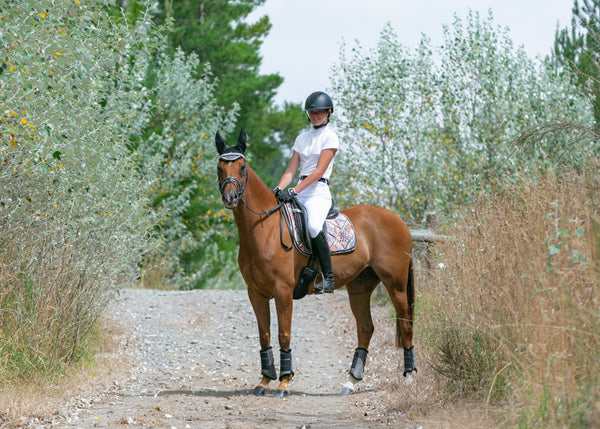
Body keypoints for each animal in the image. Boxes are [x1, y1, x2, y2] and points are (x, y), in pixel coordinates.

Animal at [217, 129, 418, 396]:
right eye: (220, 168)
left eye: (242, 167)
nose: (230, 197)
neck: (262, 228)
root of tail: (399, 220)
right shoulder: (255, 293)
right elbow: (264, 335)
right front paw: (264, 381)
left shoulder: (282, 291)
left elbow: (283, 334)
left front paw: (284, 383)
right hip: (360, 286)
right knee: (366, 328)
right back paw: (350, 382)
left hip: (395, 284)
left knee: (405, 325)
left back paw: (409, 377)